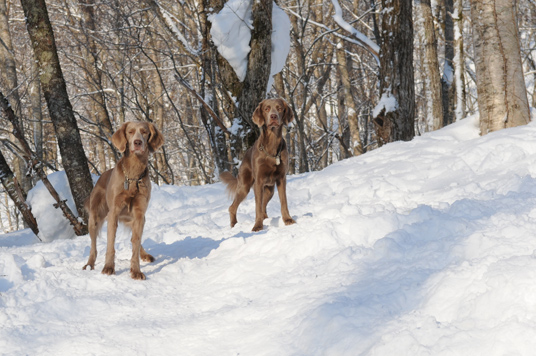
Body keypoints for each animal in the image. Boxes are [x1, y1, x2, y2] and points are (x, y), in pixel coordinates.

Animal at [82, 121, 163, 280]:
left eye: (144, 132)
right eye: (130, 132)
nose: (137, 142)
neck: (132, 176)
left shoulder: (139, 214)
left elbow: (136, 242)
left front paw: (136, 271)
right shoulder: (113, 212)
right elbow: (110, 244)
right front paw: (108, 267)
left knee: (136, 240)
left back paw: (144, 254)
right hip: (95, 217)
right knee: (93, 246)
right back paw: (89, 264)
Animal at [221, 98, 298, 231]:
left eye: (279, 108)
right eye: (266, 108)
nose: (273, 116)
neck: (271, 145)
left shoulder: (281, 178)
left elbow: (283, 202)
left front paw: (288, 220)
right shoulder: (259, 181)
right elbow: (257, 206)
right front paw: (257, 226)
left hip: (269, 190)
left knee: (263, 206)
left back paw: (264, 219)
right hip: (244, 186)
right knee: (233, 207)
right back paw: (234, 225)